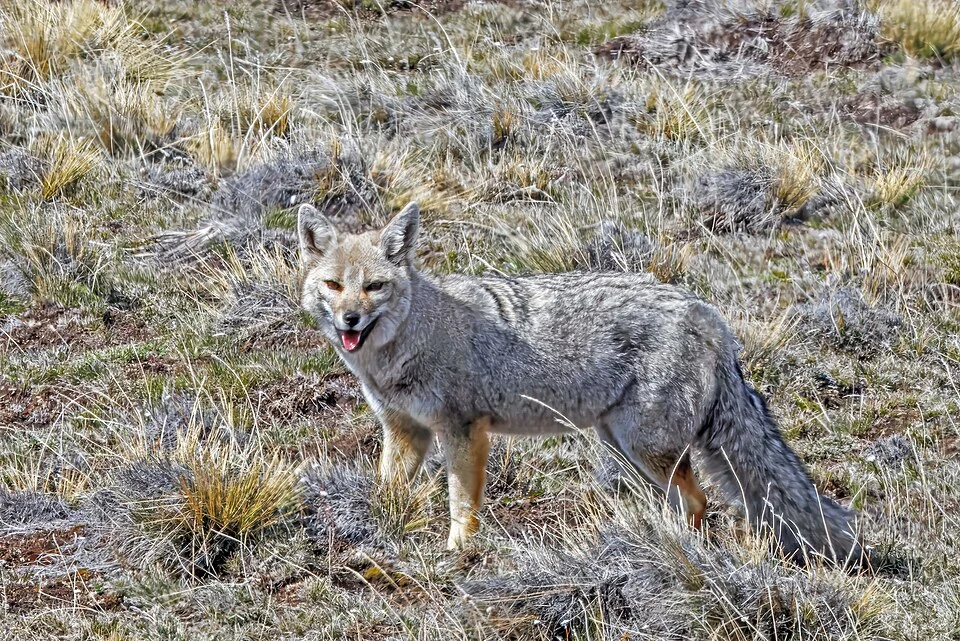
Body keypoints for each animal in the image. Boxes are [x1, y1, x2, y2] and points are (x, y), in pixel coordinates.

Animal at [296, 201, 867, 565]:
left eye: (375, 287)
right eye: (334, 285)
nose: (349, 319)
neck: (405, 345)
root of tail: (707, 314)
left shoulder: (464, 430)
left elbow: (462, 503)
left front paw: (459, 553)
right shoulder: (404, 431)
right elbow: (387, 492)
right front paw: (381, 531)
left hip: (646, 447)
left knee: (699, 501)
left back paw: (684, 552)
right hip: (624, 446)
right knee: (688, 501)